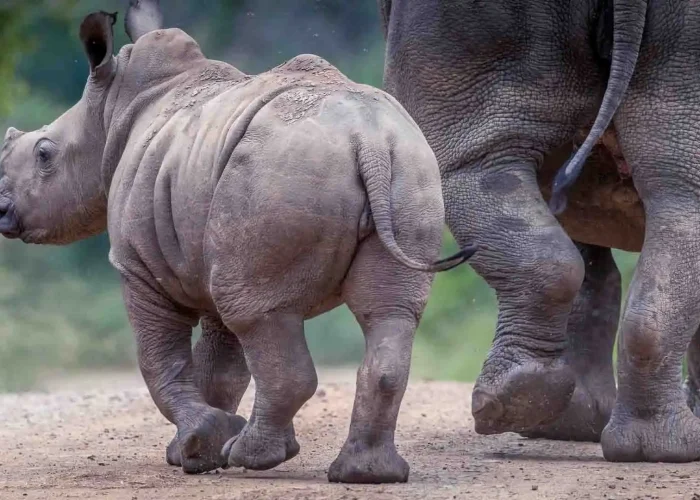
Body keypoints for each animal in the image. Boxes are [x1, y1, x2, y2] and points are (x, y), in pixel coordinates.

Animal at [0, 2, 474, 483]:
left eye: (44, 154)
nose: (2, 208)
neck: (112, 108)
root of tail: (369, 142)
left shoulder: (139, 266)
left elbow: (161, 357)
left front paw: (200, 447)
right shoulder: (204, 253)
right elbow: (219, 366)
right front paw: (195, 452)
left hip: (276, 174)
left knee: (258, 314)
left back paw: (250, 458)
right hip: (409, 173)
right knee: (387, 311)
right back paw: (366, 474)